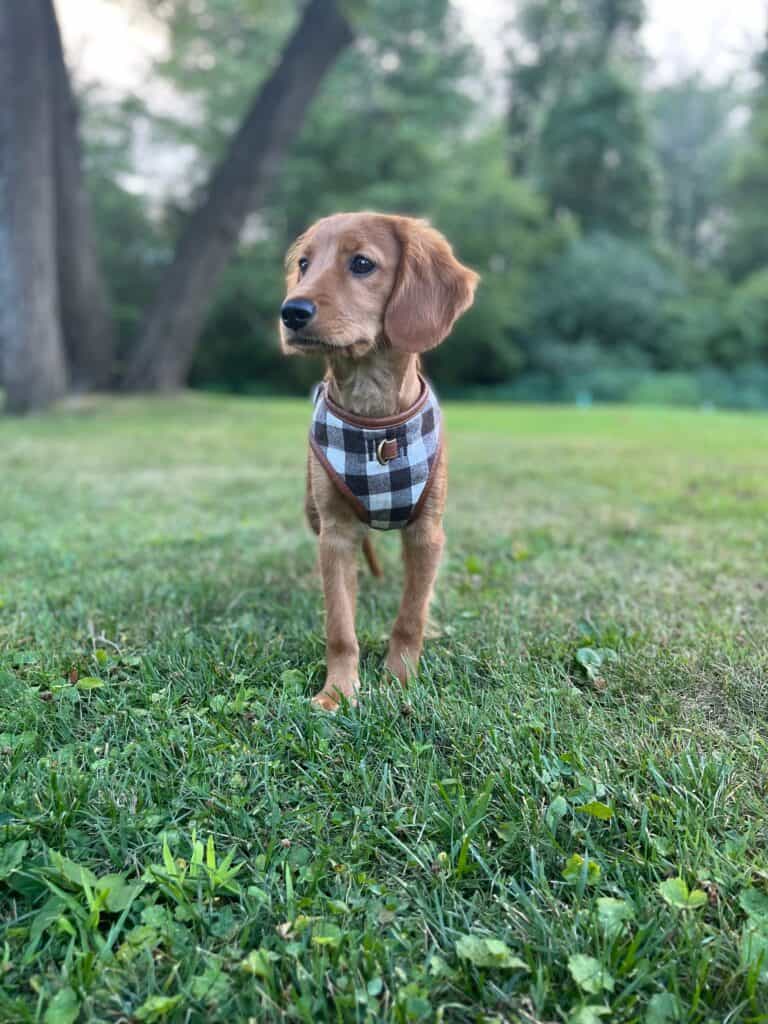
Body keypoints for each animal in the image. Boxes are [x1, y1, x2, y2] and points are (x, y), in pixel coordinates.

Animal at [280, 214, 479, 712]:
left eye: (362, 263)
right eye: (305, 264)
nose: (291, 311)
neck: (375, 419)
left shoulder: (427, 533)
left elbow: (411, 615)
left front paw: (399, 680)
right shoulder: (334, 533)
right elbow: (340, 625)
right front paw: (337, 691)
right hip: (313, 511)